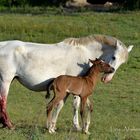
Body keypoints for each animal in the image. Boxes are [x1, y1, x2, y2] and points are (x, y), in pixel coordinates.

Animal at [0, 34, 132, 130]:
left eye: (122, 62)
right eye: (114, 57)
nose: (107, 78)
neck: (83, 53)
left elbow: (61, 106)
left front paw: (54, 126)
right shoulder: (76, 90)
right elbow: (75, 106)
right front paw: (77, 127)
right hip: (5, 81)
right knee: (3, 101)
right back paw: (9, 125)